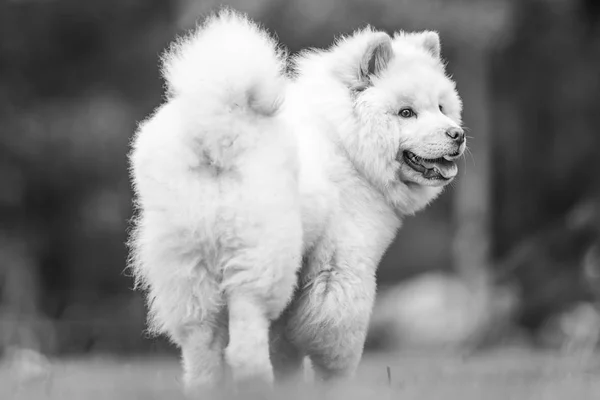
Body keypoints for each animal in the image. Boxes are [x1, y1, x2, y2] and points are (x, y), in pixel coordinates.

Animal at [127, 7, 464, 396]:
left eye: (441, 107)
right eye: (406, 112)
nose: (457, 134)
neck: (344, 142)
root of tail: (219, 128)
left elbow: (286, 347)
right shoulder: (343, 266)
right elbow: (334, 345)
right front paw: (335, 387)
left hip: (186, 268)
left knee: (202, 347)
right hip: (260, 261)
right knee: (243, 345)